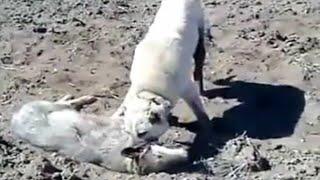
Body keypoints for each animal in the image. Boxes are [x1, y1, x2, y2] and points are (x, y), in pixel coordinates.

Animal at [10, 95, 195, 174]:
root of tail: (16, 117)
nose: (186, 155)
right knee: (63, 104)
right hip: (47, 106)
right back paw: (79, 98)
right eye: (158, 154)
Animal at [111, 0, 209, 143]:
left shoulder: (186, 88)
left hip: (199, 22)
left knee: (200, 55)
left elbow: (200, 112)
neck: (150, 90)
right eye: (128, 132)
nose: (131, 147)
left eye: (142, 133)